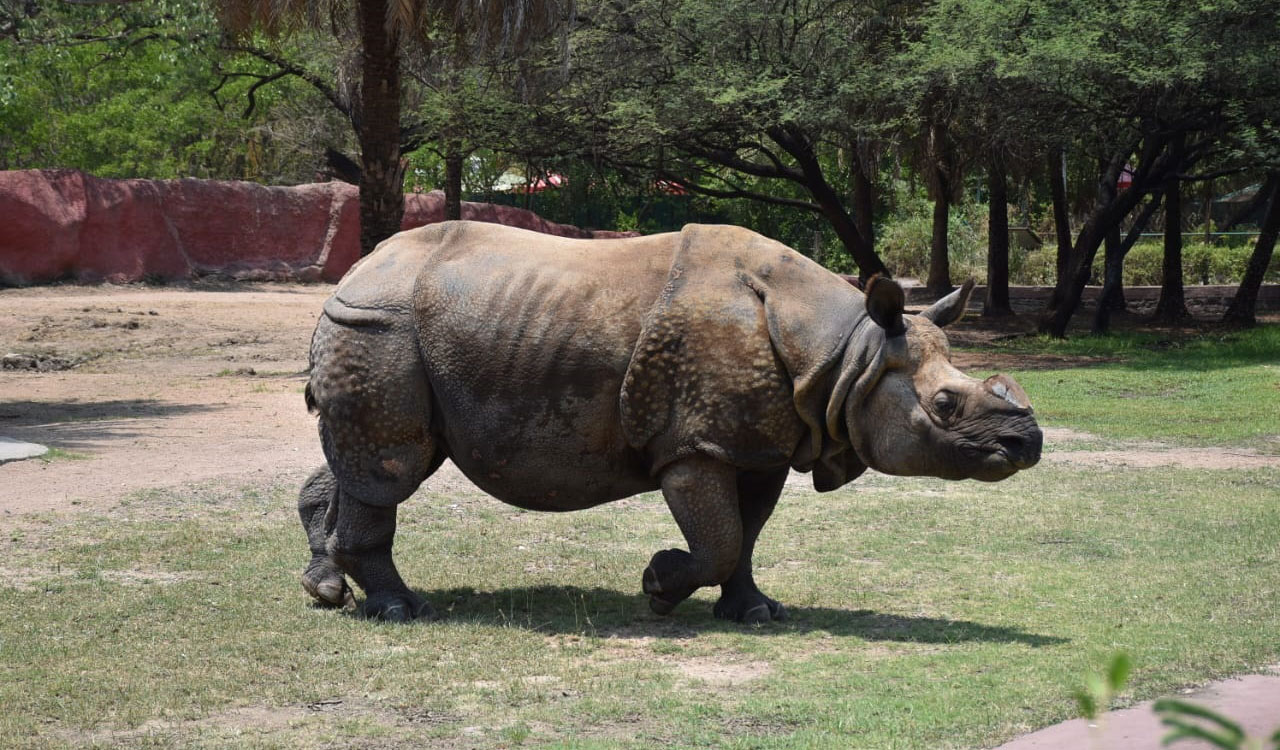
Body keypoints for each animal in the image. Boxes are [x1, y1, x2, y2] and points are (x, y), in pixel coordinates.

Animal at [299, 221, 1041, 623]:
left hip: (402, 331)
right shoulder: (696, 444)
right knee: (389, 469)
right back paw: (402, 610)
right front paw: (658, 586)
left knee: (376, 464)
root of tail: (354, 271)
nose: (1027, 442)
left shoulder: (759, 443)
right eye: (945, 407)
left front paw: (755, 613)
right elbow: (719, 538)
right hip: (382, 328)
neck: (847, 355)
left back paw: (327, 591)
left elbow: (746, 534)